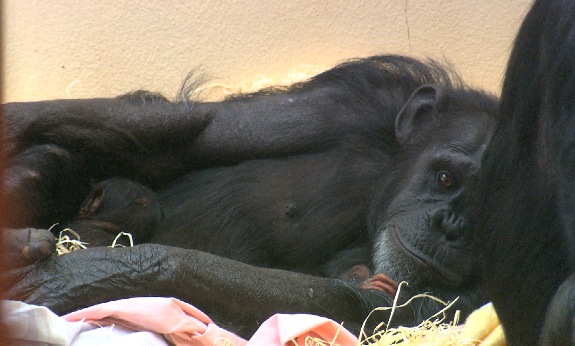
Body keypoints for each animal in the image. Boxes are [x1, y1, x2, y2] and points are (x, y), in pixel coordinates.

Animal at [2, 55, 498, 336]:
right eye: (446, 179)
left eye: (483, 213)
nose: (450, 225)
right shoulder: (351, 105)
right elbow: (184, 134)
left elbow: (345, 303)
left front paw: (76, 276)